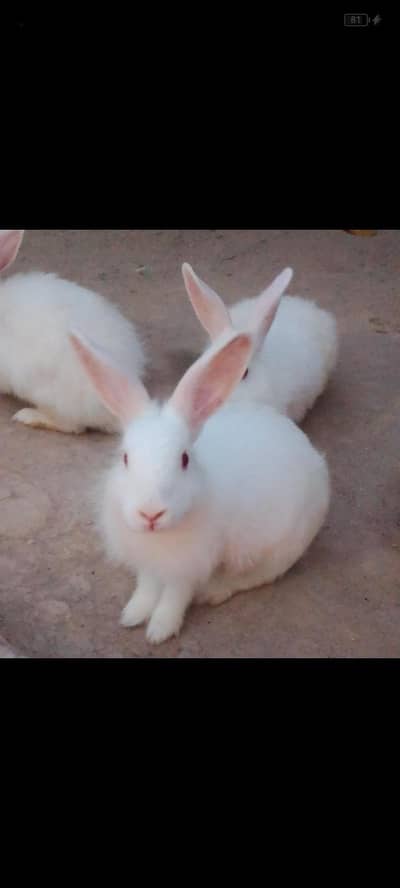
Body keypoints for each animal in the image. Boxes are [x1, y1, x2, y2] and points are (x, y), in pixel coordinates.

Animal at [70, 326, 330, 645]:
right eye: (125, 458)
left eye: (184, 459)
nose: (151, 514)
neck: (160, 537)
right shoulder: (147, 563)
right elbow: (146, 587)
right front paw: (132, 615)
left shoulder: (189, 567)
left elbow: (174, 597)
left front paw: (159, 631)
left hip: (282, 547)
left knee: (255, 576)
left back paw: (214, 591)